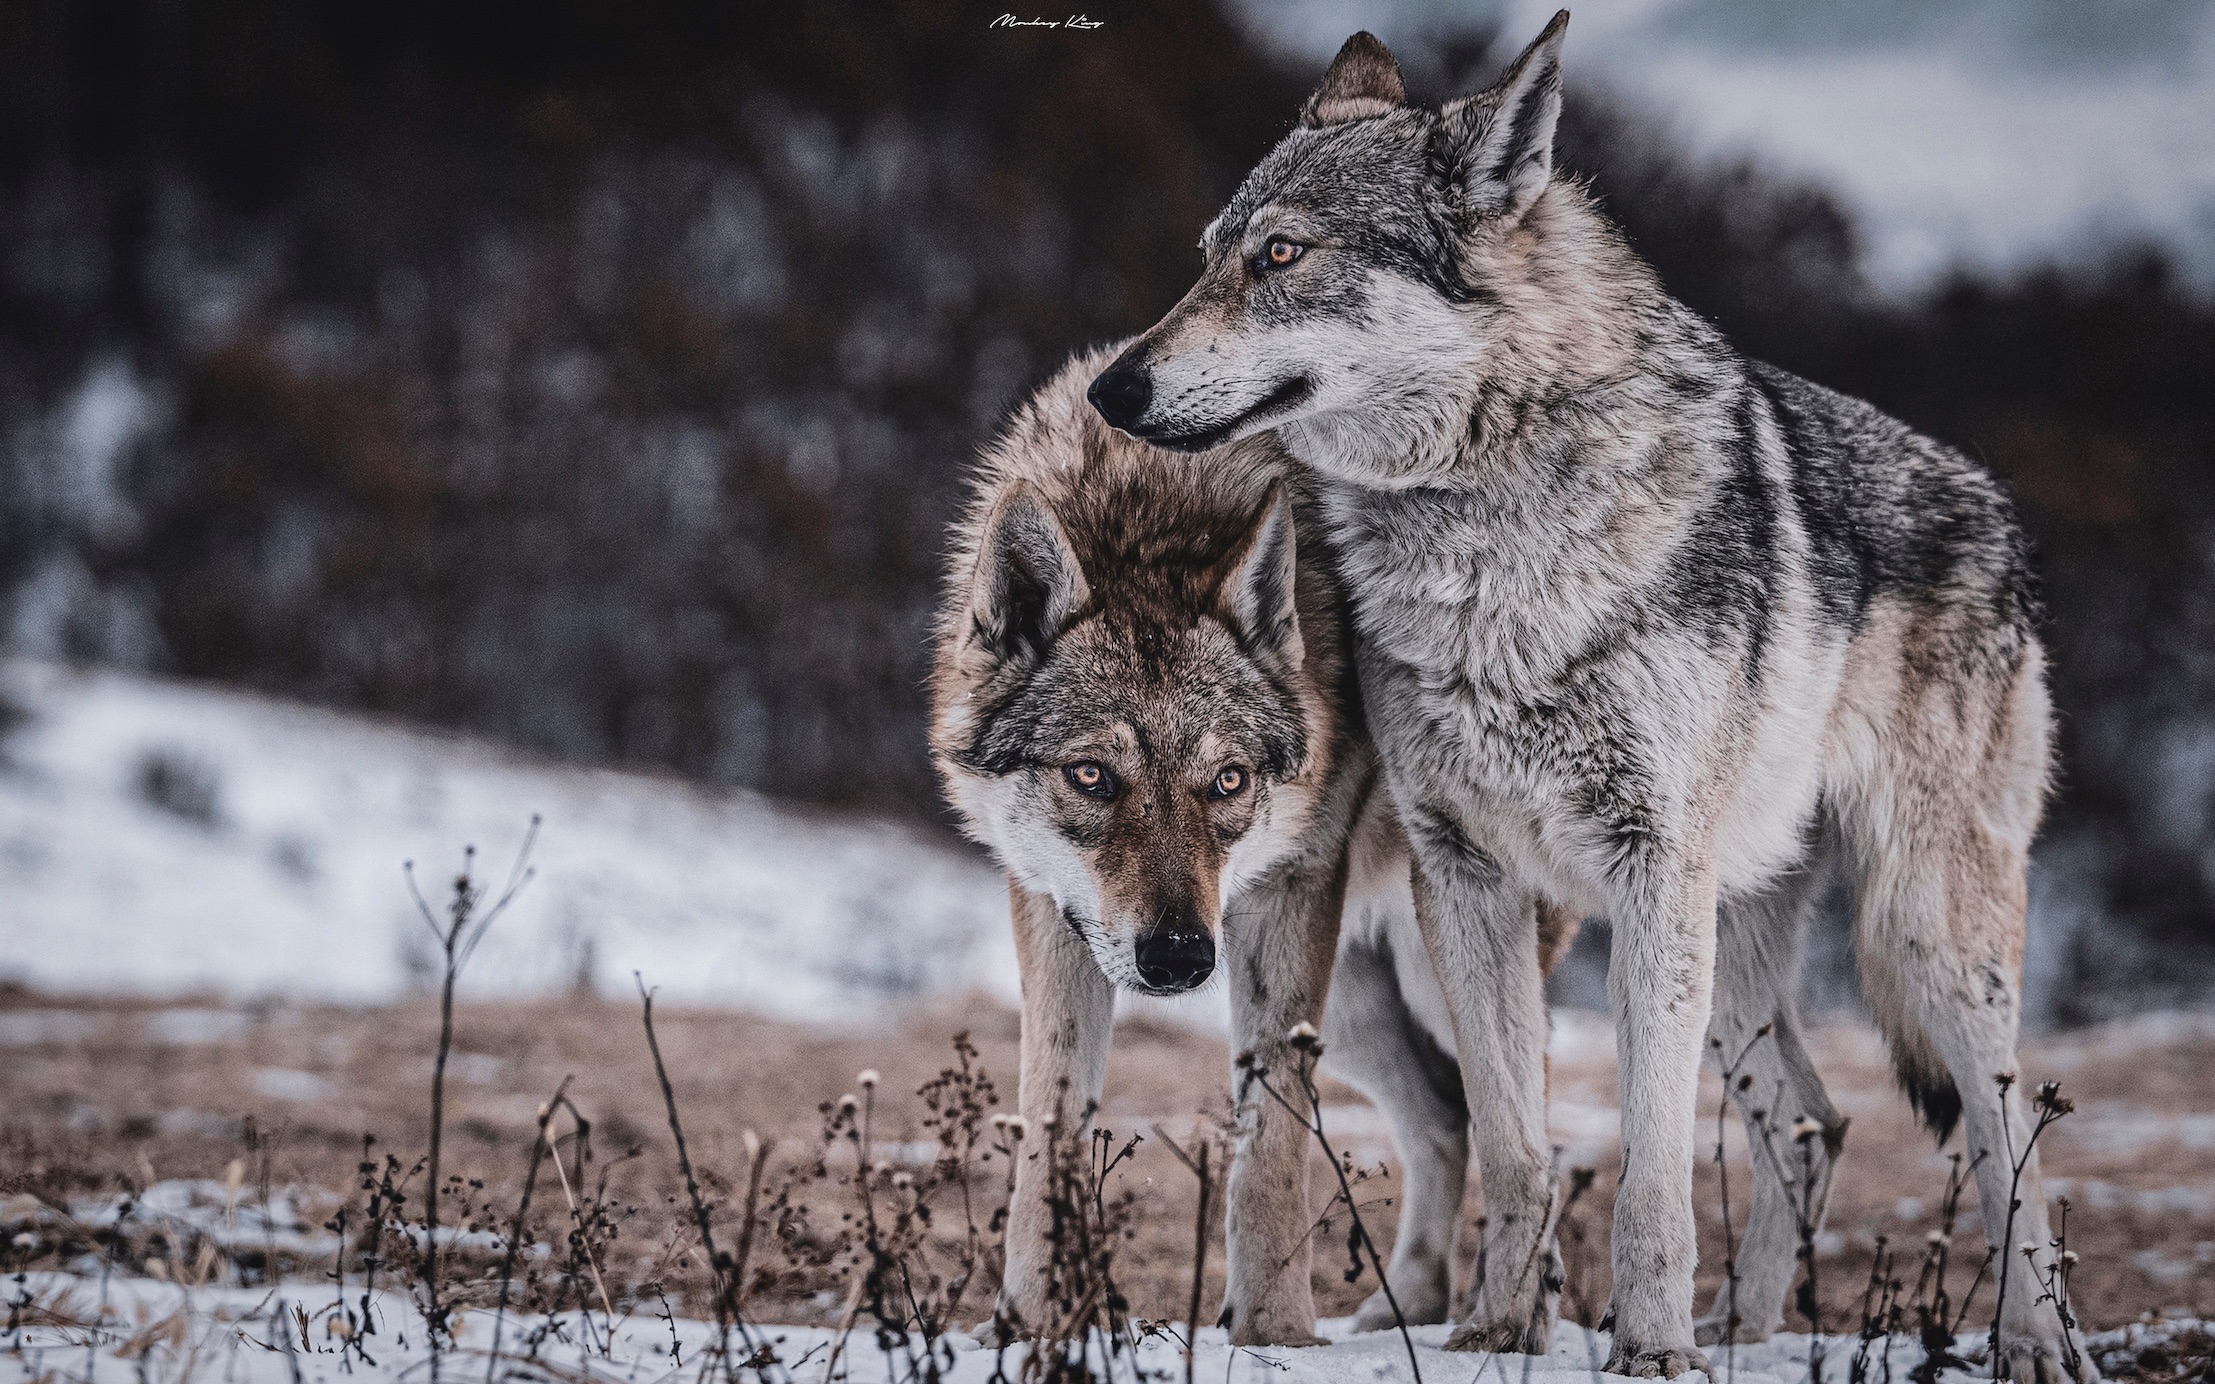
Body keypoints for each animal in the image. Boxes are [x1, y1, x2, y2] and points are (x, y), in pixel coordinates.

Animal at [925, 349, 1585, 1346]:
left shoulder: (1289, 895)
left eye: (1228, 781)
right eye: (1091, 777)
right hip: (1358, 1005)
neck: (1151, 508)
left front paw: (1273, 1333)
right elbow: (1051, 1126)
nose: (1178, 956)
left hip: (1437, 973)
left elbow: (1269, 1142)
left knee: (1526, 1131)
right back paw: (1409, 1308)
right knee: (1443, 1119)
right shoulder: (1048, 911)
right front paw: (1028, 1324)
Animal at [1080, 13, 2082, 1381]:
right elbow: (1515, 1142)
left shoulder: (1647, 872)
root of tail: (2000, 512)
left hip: (1913, 934)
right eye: (1204, 262)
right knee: (1813, 1119)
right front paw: (1499, 1328)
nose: (1110, 389)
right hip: (1735, 951)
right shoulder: (1465, 880)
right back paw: (1745, 1326)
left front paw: (1646, 1347)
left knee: (1999, 1134)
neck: (1483, 536)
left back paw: (2027, 1340)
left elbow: (1651, 1171)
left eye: (1282, 254)